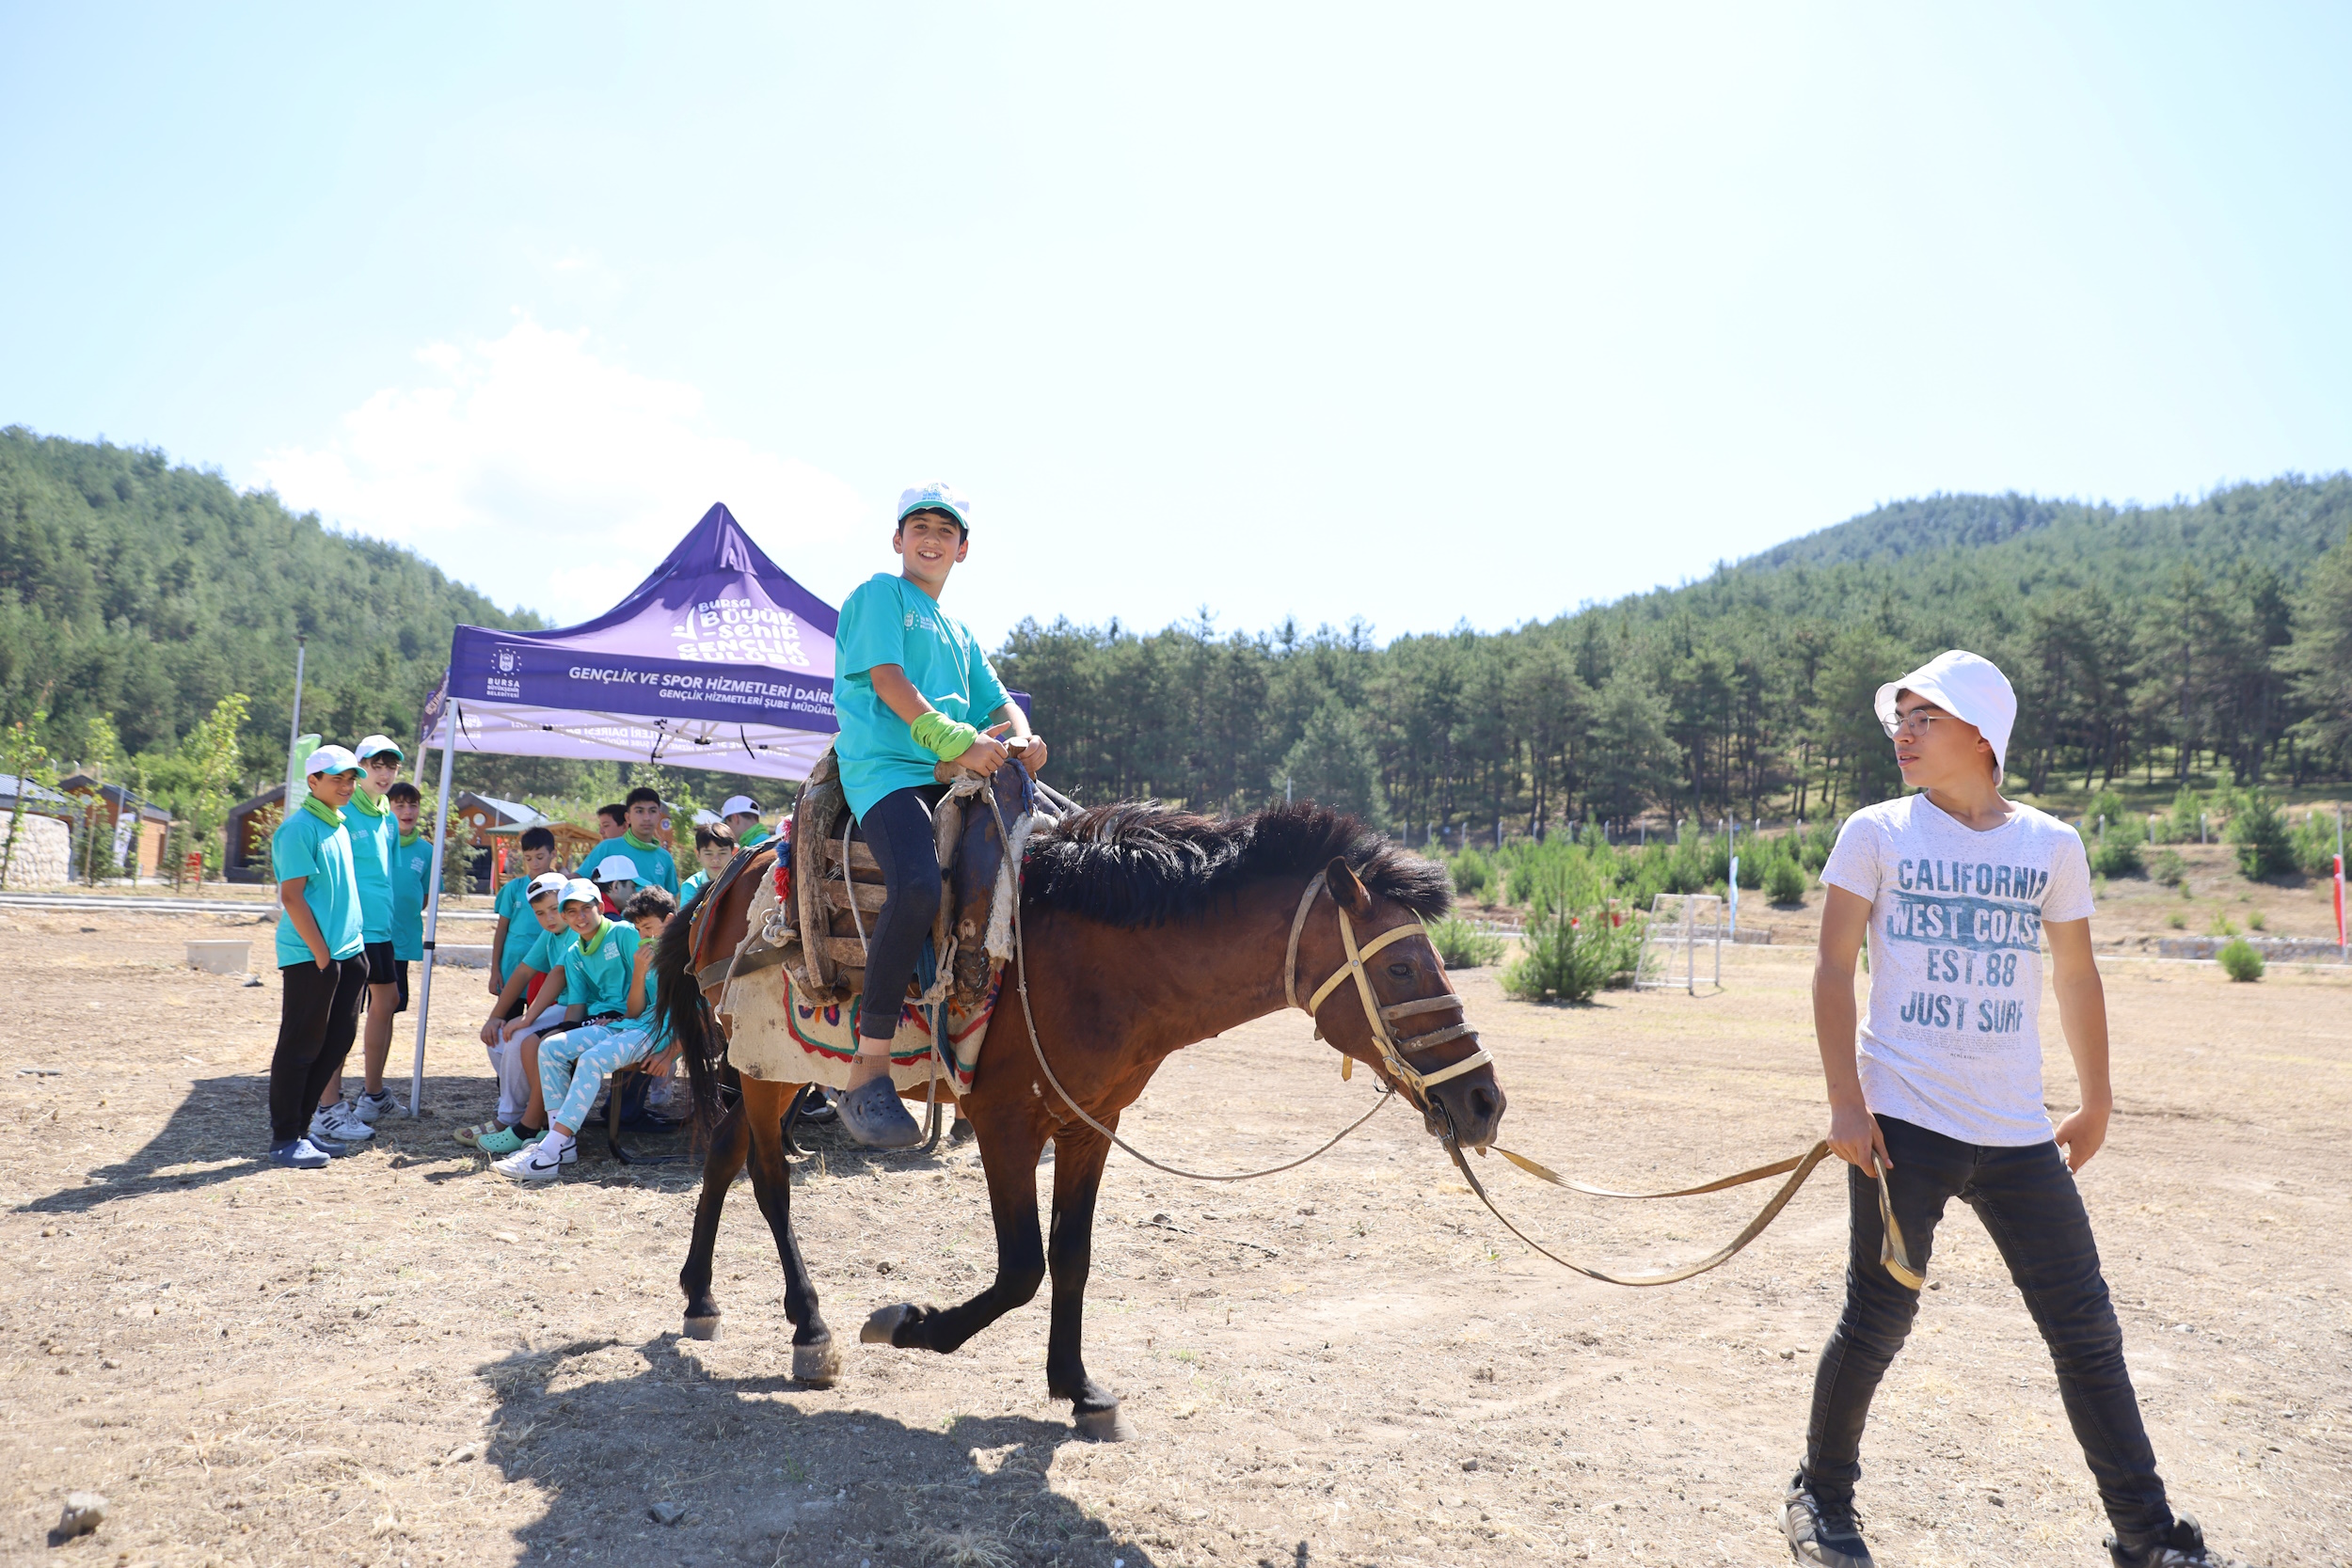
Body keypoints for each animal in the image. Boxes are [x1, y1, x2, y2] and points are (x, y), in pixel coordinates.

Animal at [663, 803, 1505, 1438]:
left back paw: (700, 1297)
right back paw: (810, 1329)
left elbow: (1071, 1256)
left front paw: (1078, 1387)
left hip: (771, 1069)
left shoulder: (1088, 1123)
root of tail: (733, 875)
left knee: (726, 1153)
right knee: (770, 1179)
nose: (1484, 1102)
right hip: (767, 1066)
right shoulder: (1005, 1124)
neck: (1093, 963)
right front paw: (909, 1323)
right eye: (1401, 966)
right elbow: (1021, 1267)